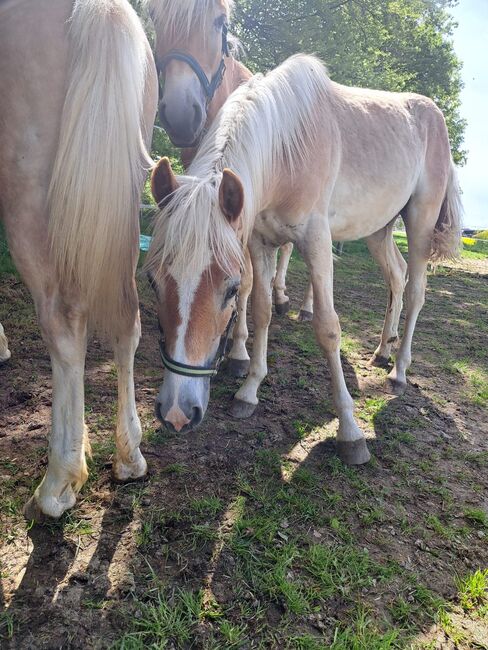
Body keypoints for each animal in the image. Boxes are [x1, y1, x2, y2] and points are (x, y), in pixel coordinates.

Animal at [148, 53, 462, 464]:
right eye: (153, 282)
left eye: (230, 289)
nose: (177, 413)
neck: (287, 150)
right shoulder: (260, 243)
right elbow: (262, 310)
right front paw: (249, 390)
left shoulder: (315, 239)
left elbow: (328, 329)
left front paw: (350, 431)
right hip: (379, 229)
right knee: (397, 276)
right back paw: (382, 350)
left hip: (420, 224)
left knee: (416, 292)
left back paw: (398, 371)